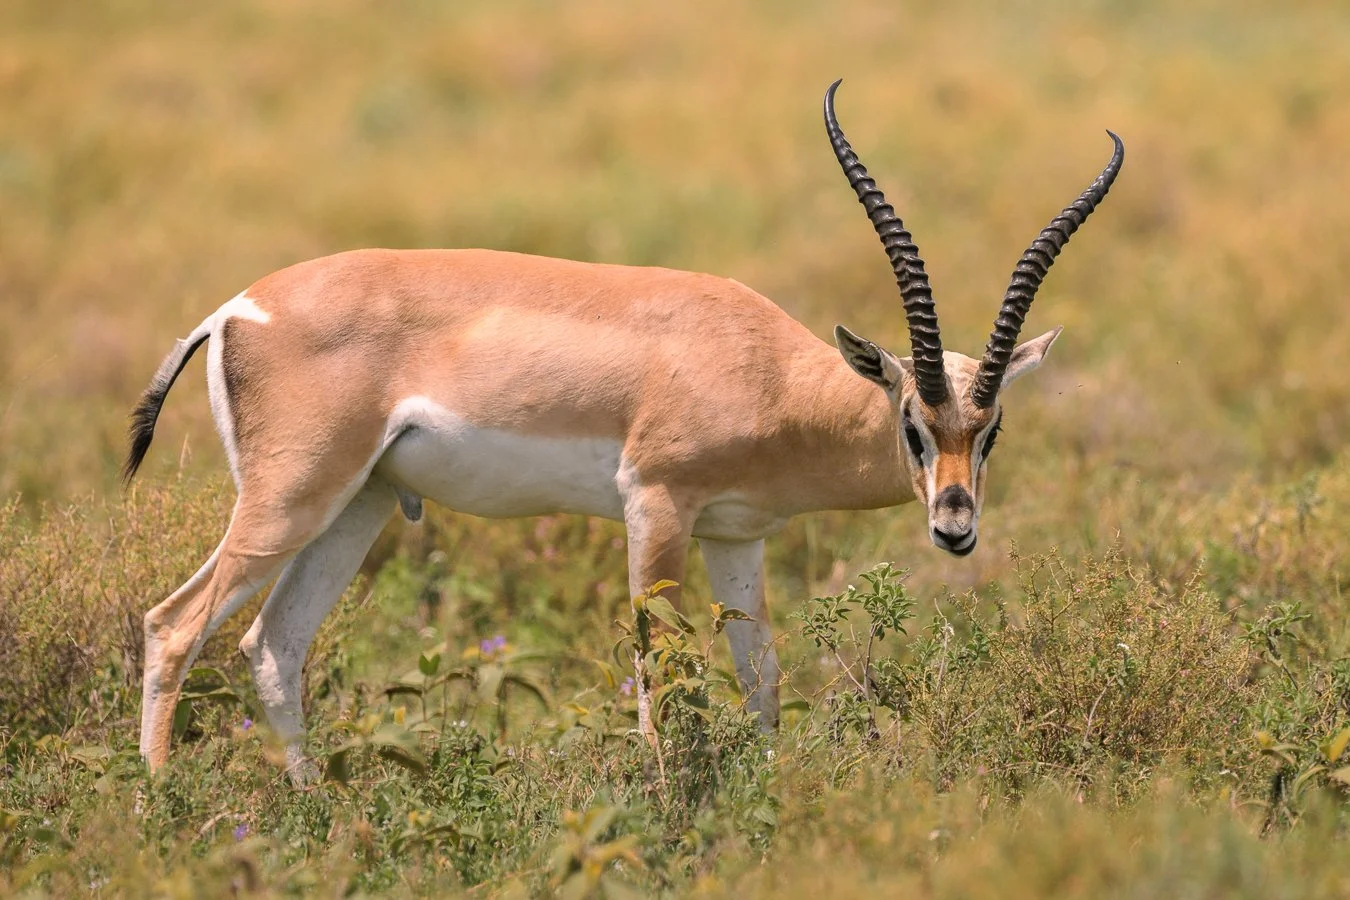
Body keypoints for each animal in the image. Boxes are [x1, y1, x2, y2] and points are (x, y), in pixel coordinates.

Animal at [124, 80, 1123, 773]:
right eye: (915, 421)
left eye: (991, 429)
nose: (955, 525)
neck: (765, 371)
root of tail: (235, 309)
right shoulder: (657, 506)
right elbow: (660, 677)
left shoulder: (738, 537)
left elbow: (761, 679)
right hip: (292, 498)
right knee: (174, 627)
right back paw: (162, 805)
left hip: (358, 506)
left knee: (273, 646)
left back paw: (316, 815)